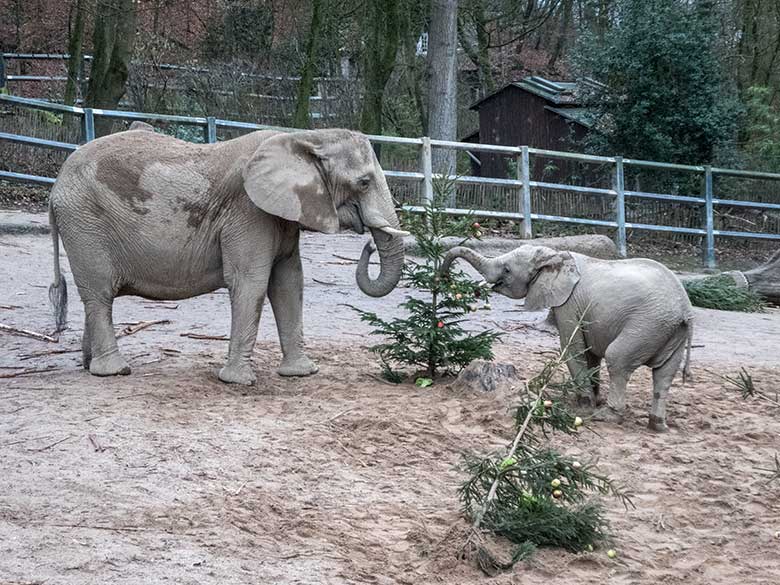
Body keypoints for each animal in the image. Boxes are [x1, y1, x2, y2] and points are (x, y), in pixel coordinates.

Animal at [47, 125, 408, 386]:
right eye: (364, 182)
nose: (369, 245)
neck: (305, 137)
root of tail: (55, 186)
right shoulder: (248, 211)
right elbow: (252, 282)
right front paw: (238, 381)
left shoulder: (282, 215)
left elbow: (289, 283)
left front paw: (302, 374)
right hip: (84, 223)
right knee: (99, 294)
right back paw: (114, 371)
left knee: (97, 298)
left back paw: (88, 364)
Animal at [442, 244, 692, 432]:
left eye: (506, 270)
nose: (443, 276)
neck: (554, 256)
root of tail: (685, 309)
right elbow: (590, 354)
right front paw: (592, 399)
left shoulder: (569, 303)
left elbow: (573, 348)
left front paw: (584, 406)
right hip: (668, 331)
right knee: (664, 374)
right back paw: (658, 426)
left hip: (647, 325)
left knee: (618, 359)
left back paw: (607, 416)